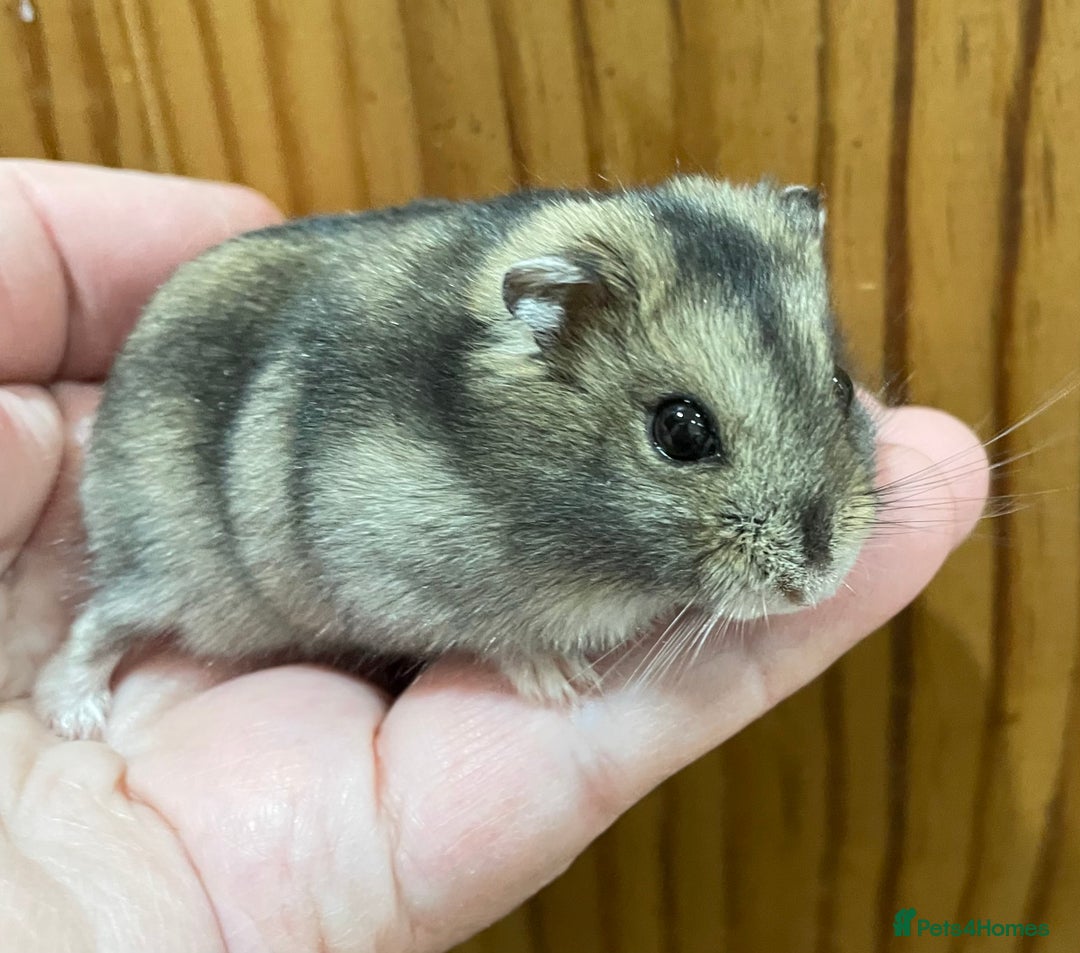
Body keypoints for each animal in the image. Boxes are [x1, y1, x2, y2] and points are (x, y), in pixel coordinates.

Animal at [34, 175, 878, 739]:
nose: (819, 582)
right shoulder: (394, 569)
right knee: (98, 617)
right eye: (679, 430)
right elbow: (500, 635)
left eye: (842, 386)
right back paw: (75, 714)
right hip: (175, 574)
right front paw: (563, 685)